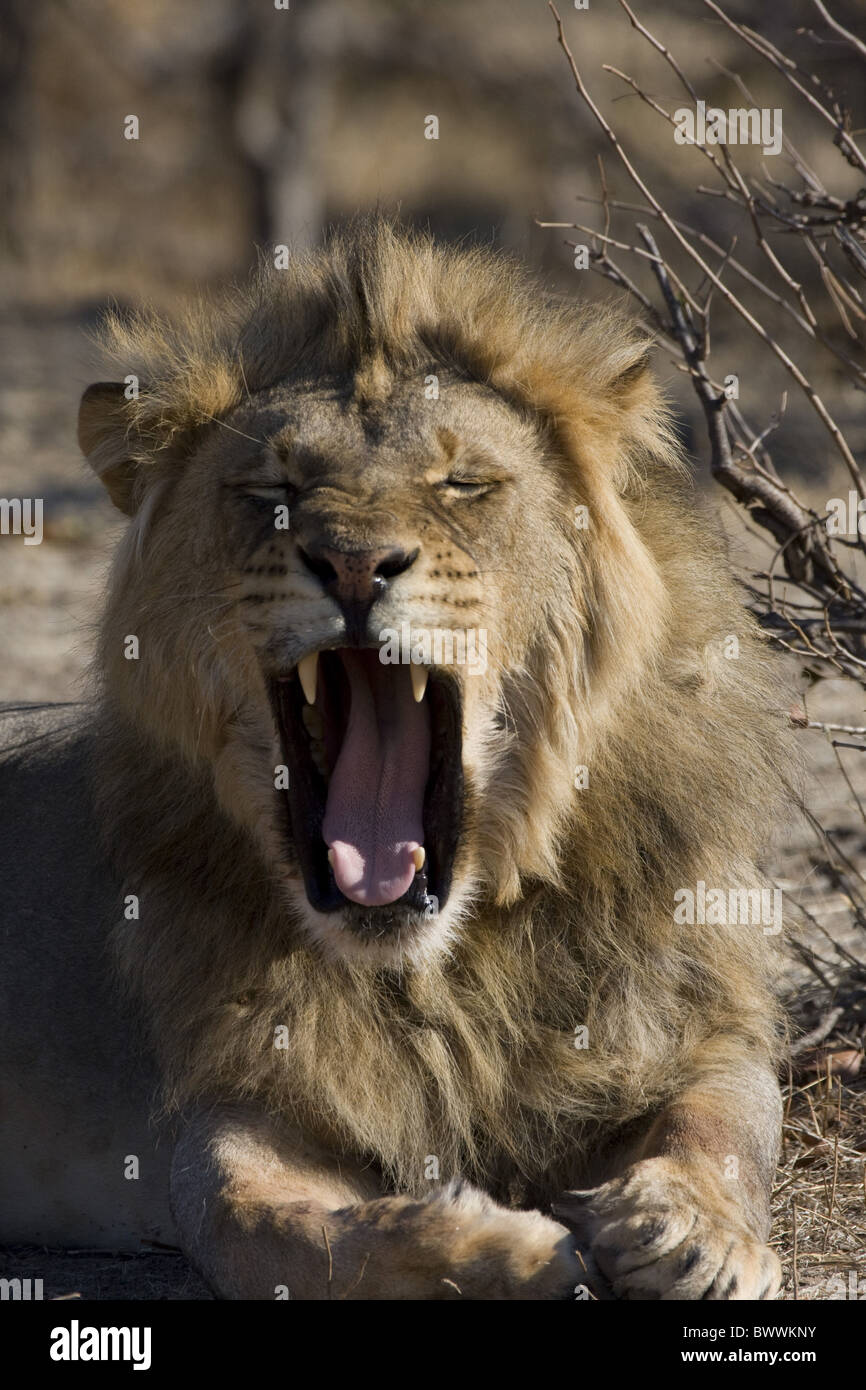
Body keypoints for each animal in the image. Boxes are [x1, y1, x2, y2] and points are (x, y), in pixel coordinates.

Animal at [0, 217, 790, 1300]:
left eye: (463, 484)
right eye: (272, 492)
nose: (353, 563)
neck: (441, 970)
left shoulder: (695, 1014)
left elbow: (722, 1119)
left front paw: (686, 1234)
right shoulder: (233, 1095)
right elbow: (273, 1225)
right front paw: (505, 1251)